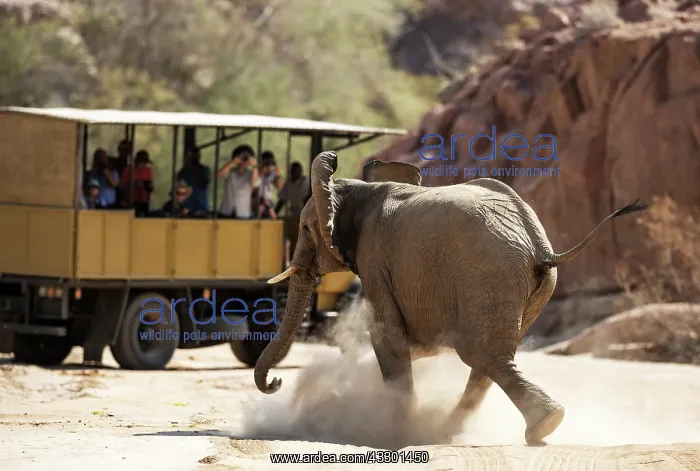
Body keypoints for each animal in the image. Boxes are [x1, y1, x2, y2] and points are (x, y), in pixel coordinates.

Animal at [256, 151, 648, 445]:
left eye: (305, 228)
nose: (276, 383)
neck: (356, 188)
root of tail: (541, 247)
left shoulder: (374, 259)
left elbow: (387, 336)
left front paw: (397, 434)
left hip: (488, 274)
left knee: (482, 355)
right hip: (530, 287)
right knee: (488, 360)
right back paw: (468, 430)